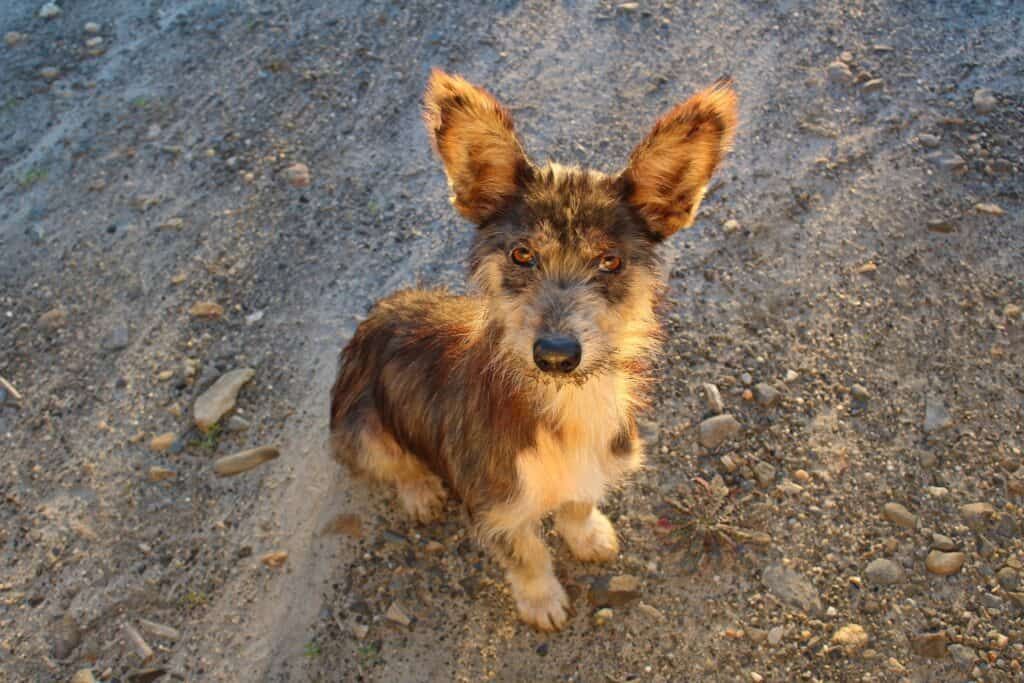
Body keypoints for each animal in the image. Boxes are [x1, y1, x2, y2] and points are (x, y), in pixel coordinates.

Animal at [330, 69, 737, 631]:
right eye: (523, 254)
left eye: (610, 261)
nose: (557, 355)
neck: (565, 402)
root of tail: (376, 316)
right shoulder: (495, 502)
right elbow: (527, 554)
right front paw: (541, 601)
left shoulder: (592, 466)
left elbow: (577, 504)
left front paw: (589, 535)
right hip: (360, 426)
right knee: (393, 464)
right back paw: (420, 491)